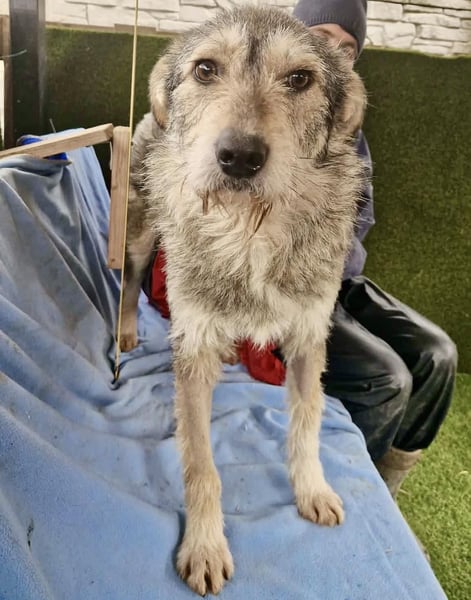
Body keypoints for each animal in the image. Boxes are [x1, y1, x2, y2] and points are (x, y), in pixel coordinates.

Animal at [120, 6, 367, 595]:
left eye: (300, 78)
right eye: (206, 69)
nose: (239, 157)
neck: (249, 231)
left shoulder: (307, 338)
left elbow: (307, 421)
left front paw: (312, 489)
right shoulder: (193, 346)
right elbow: (201, 463)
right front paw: (205, 545)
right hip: (140, 236)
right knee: (128, 282)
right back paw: (126, 330)